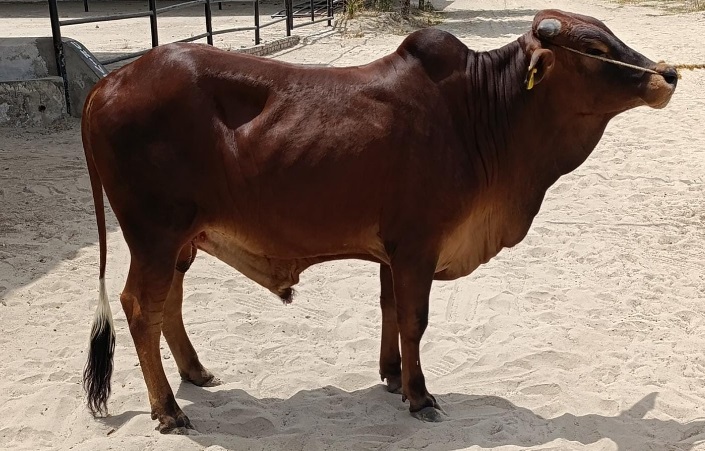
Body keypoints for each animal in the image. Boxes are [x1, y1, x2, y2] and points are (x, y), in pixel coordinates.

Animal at [81, 9, 678, 432]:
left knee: (169, 303)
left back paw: (196, 374)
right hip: (154, 234)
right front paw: (420, 395)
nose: (668, 74)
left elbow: (390, 310)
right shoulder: (418, 245)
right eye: (595, 48)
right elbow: (415, 320)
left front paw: (392, 376)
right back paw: (168, 409)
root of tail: (108, 84)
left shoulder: (393, 251)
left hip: (180, 239)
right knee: (140, 307)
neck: (480, 114)